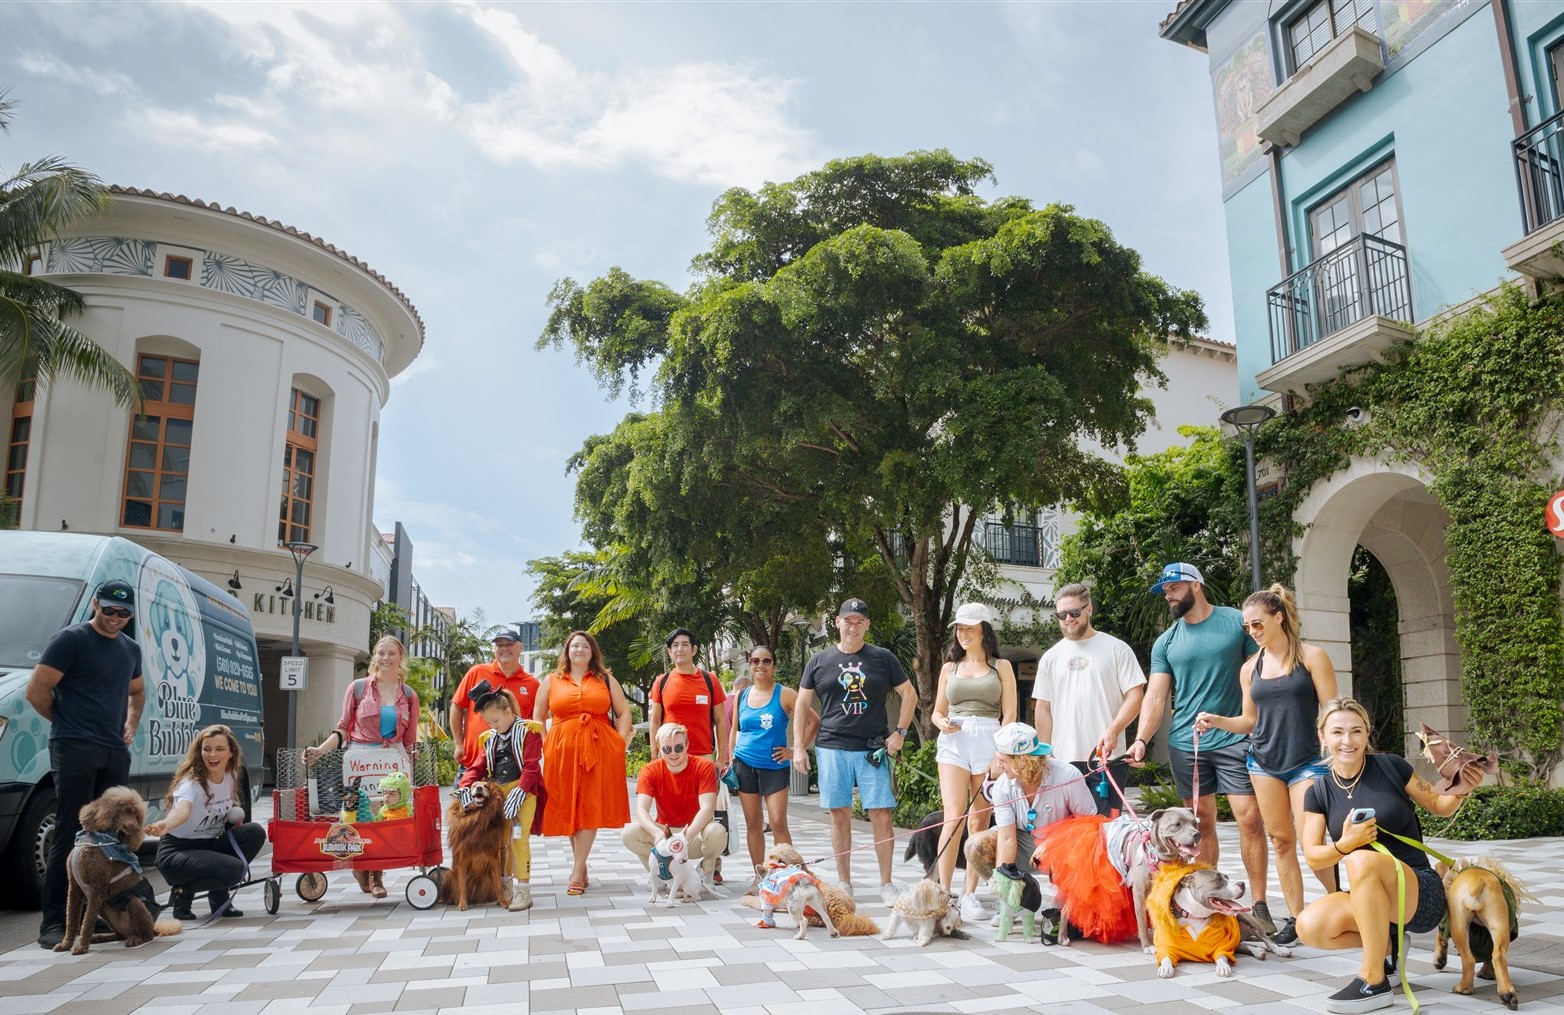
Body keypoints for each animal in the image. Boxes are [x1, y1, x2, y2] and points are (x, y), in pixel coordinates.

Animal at [57, 785, 182, 950]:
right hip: (104, 908)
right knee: (119, 934)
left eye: (137, 816)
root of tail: (154, 926)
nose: (136, 828)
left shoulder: (98, 887)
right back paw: (101, 937)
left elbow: (87, 921)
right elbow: (71, 918)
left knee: (147, 935)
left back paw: (136, 940)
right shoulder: (74, 886)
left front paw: (81, 947)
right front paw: (66, 944)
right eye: (127, 811)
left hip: (135, 903)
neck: (96, 840)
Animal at [441, 778, 506, 907]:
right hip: (449, 875)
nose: (479, 788)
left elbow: (498, 885)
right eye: (474, 786)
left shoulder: (494, 860)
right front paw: (462, 904)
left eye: (486, 786)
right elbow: (462, 886)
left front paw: (503, 901)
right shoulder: (462, 862)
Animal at [735, 838, 882, 932]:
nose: (767, 866)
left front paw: (745, 897)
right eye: (770, 857)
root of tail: (842, 911)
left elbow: (750, 900)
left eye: (781, 860)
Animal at [1432, 857, 1532, 1007]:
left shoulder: (1446, 920)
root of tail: (1477, 881)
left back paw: (1463, 989)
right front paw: (1487, 973)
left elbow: (1440, 935)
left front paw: (1439, 960)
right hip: (1498, 923)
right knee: (1497, 955)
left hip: (1458, 925)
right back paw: (1507, 995)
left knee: (1468, 960)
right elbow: (1488, 956)